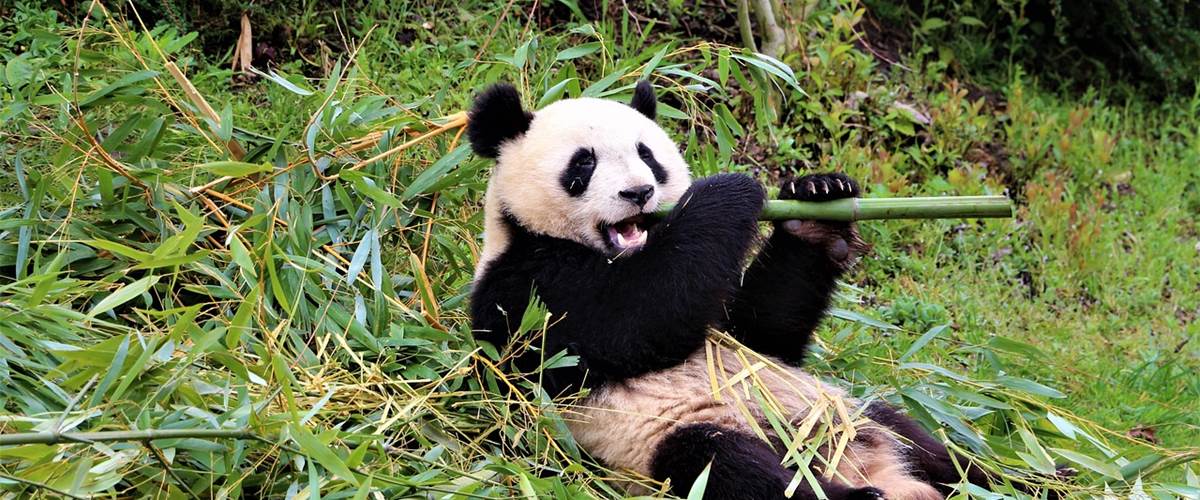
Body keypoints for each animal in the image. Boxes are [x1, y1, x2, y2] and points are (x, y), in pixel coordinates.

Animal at [468, 79, 1022, 496]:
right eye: (584, 164)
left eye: (647, 155)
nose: (639, 192)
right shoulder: (525, 284)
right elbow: (630, 321)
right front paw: (729, 189)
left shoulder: (737, 329)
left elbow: (761, 331)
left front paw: (817, 204)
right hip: (673, 438)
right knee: (730, 467)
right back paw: (855, 495)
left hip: (842, 408)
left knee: (932, 445)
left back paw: (1017, 480)